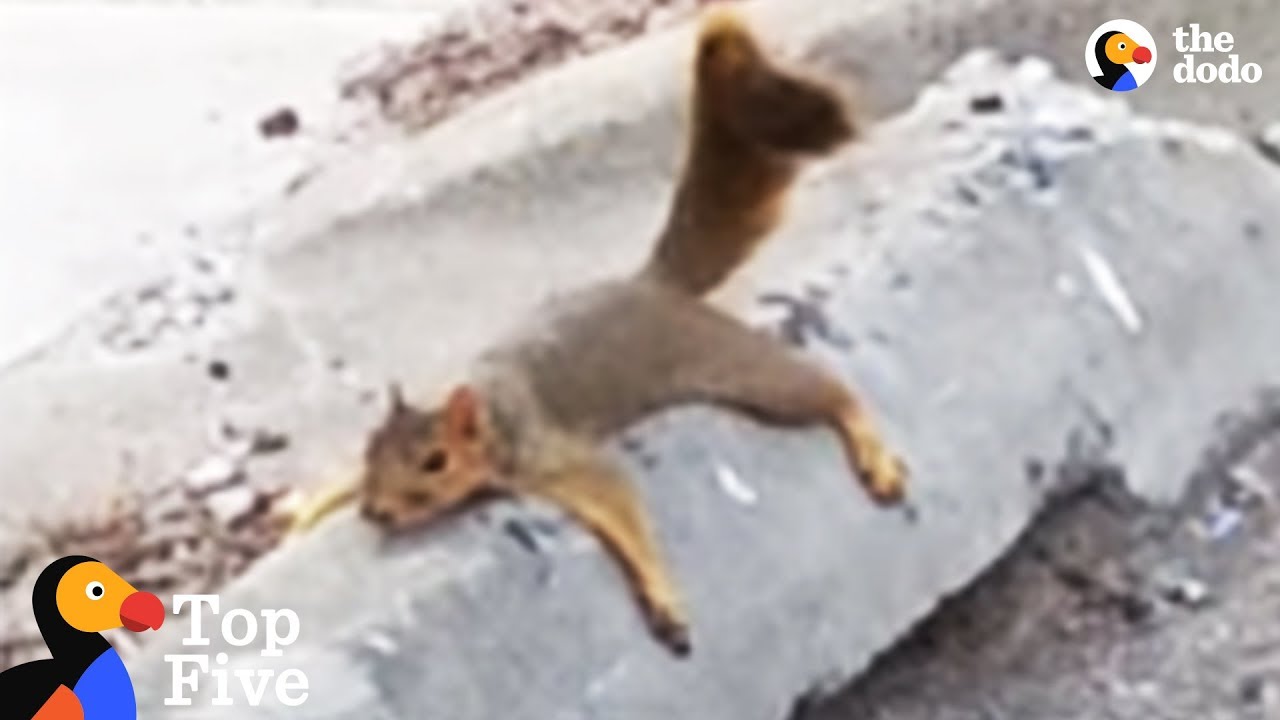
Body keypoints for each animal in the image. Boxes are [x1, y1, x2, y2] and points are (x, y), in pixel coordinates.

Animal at [288, 8, 907, 657]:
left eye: (435, 462)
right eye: (370, 450)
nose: (376, 513)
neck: (487, 410)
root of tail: (653, 285)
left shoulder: (551, 454)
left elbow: (615, 497)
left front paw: (663, 598)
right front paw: (309, 512)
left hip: (734, 362)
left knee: (826, 390)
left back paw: (873, 451)